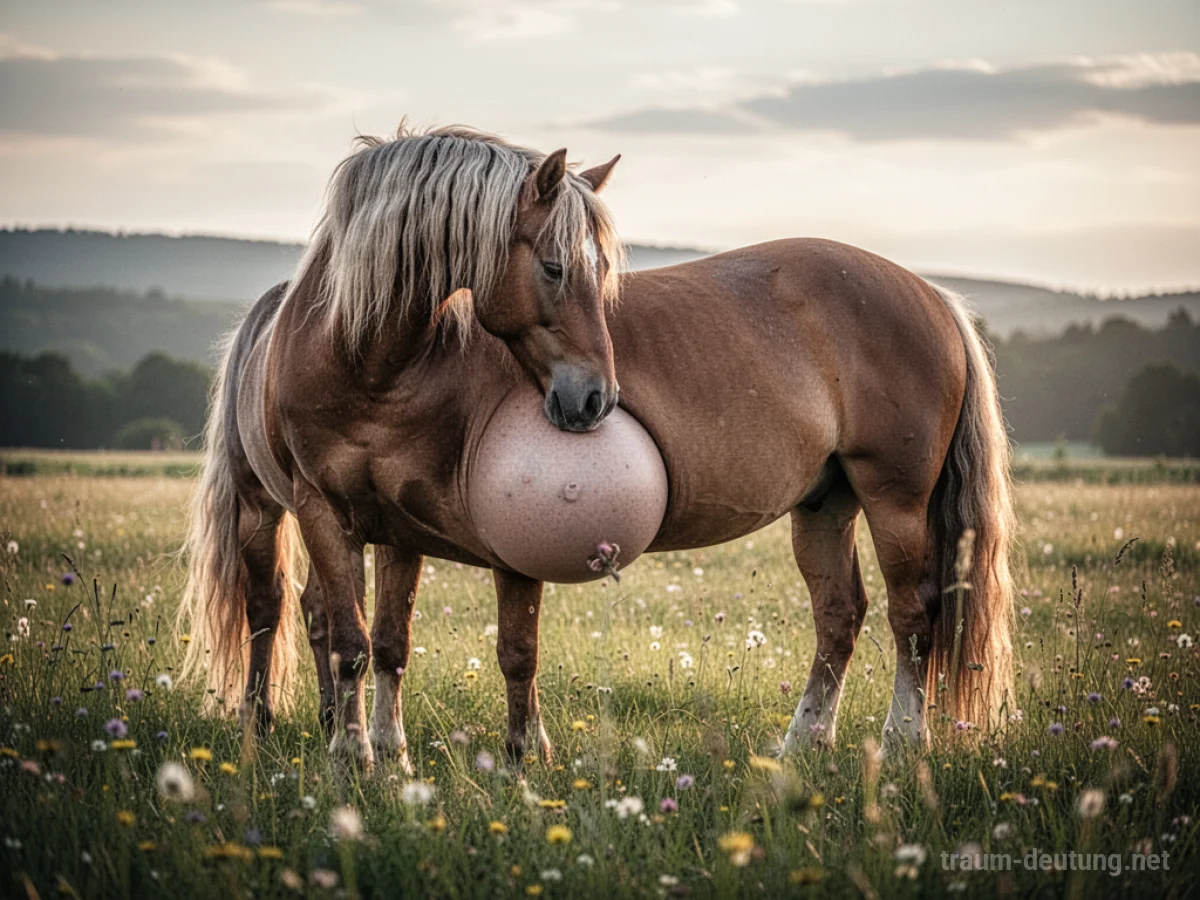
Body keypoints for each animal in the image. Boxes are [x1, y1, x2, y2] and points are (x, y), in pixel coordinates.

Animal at [179, 124, 1014, 772]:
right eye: (554, 266)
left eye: (602, 271)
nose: (594, 401)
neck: (368, 361)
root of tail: (934, 297)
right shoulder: (347, 517)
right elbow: (364, 642)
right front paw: (366, 756)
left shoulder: (471, 535)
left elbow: (502, 648)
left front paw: (507, 755)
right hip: (825, 503)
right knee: (841, 615)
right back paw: (801, 744)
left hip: (894, 499)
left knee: (913, 616)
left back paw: (902, 742)